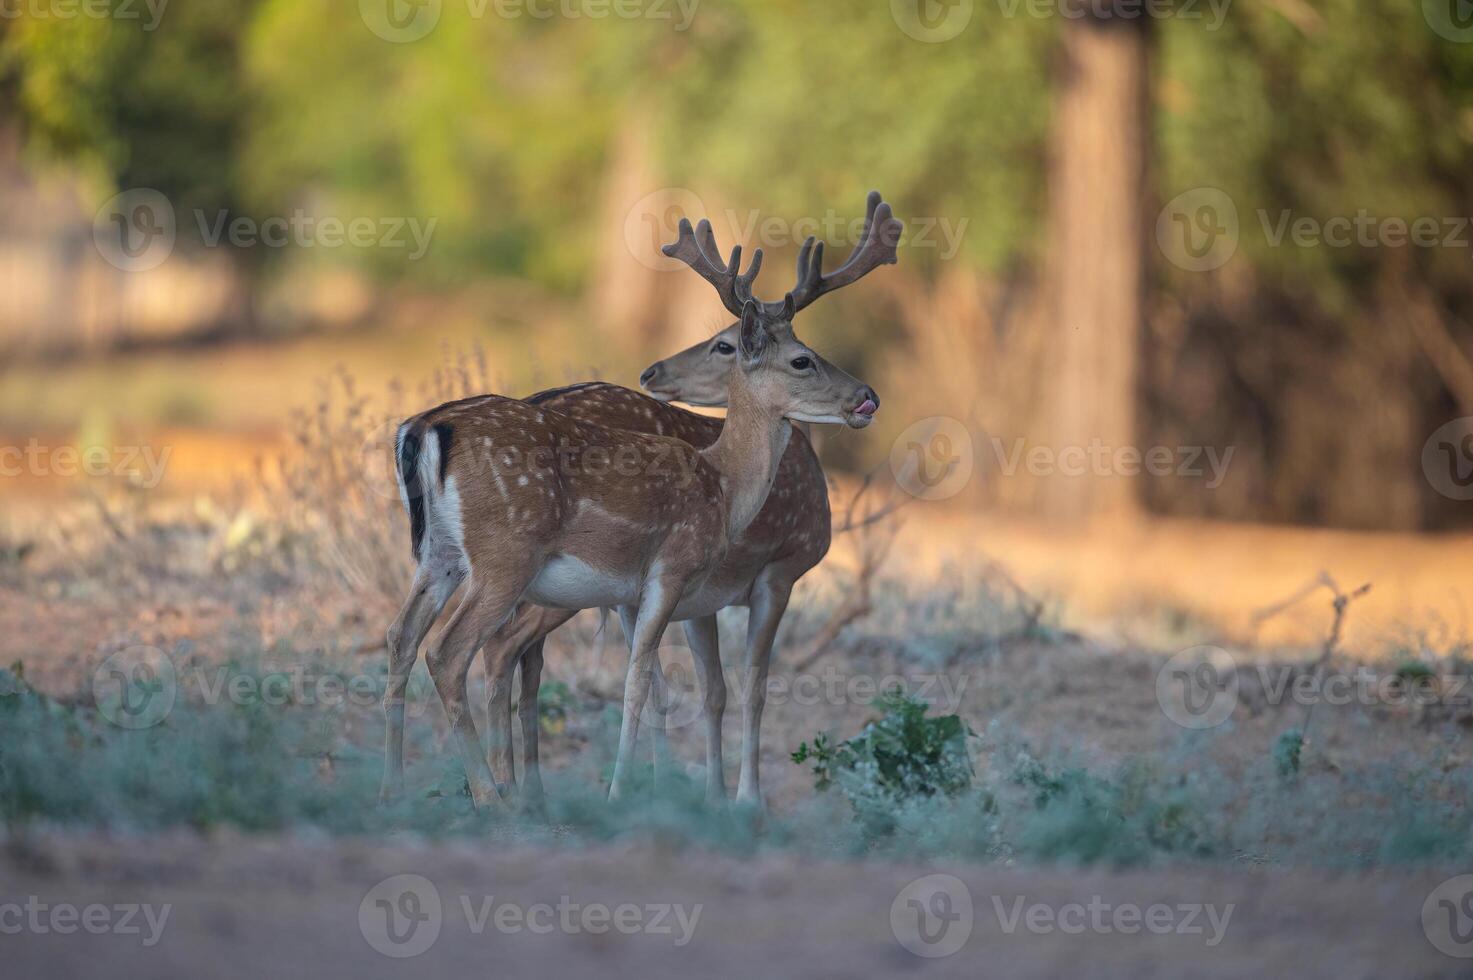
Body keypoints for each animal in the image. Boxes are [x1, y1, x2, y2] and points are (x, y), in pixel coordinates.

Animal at [382, 188, 895, 801]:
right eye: (802, 359)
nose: (867, 396)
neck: (724, 484)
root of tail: (421, 428)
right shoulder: (681, 570)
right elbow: (651, 682)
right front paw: (642, 792)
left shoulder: (634, 593)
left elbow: (658, 684)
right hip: (505, 554)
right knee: (450, 651)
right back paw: (491, 795)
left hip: (437, 555)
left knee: (401, 637)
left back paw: (391, 788)